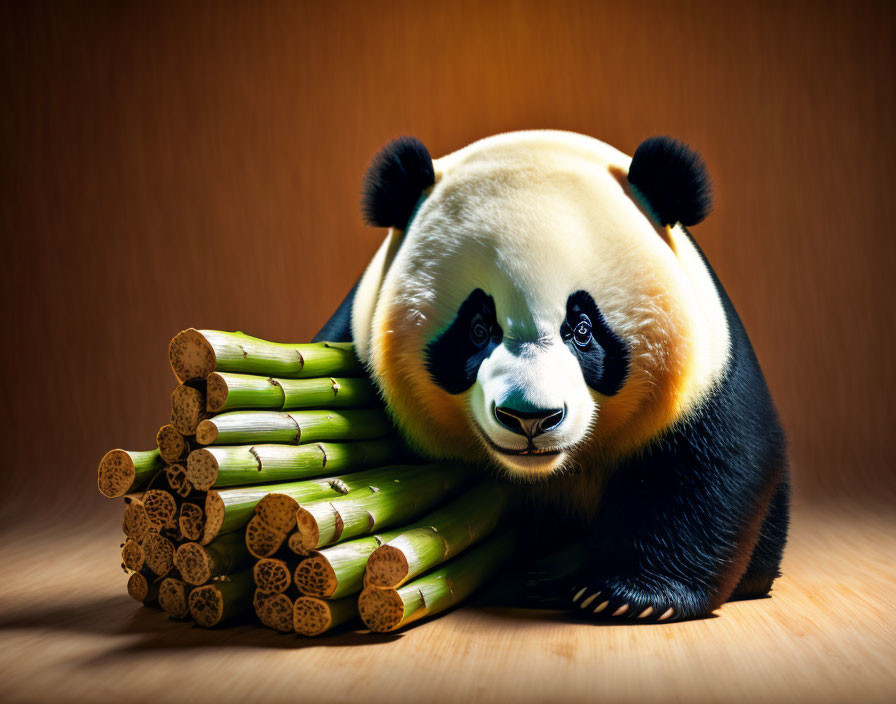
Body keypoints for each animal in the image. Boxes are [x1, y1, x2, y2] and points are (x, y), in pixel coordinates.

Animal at [312, 131, 788, 620]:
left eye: (581, 330)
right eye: (478, 329)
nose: (530, 418)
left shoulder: (706, 373)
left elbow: (707, 471)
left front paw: (631, 597)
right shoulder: (359, 349)